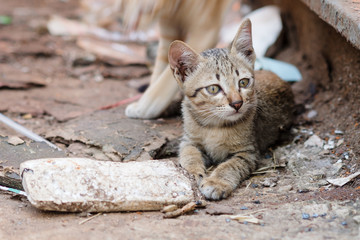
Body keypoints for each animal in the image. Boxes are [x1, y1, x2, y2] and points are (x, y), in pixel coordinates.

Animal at [167, 18, 294, 200]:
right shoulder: (189, 141)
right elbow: (189, 155)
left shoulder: (248, 152)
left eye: (243, 82)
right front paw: (193, 172)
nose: (237, 103)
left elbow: (230, 165)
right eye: (213, 89)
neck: (214, 125)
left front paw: (216, 182)